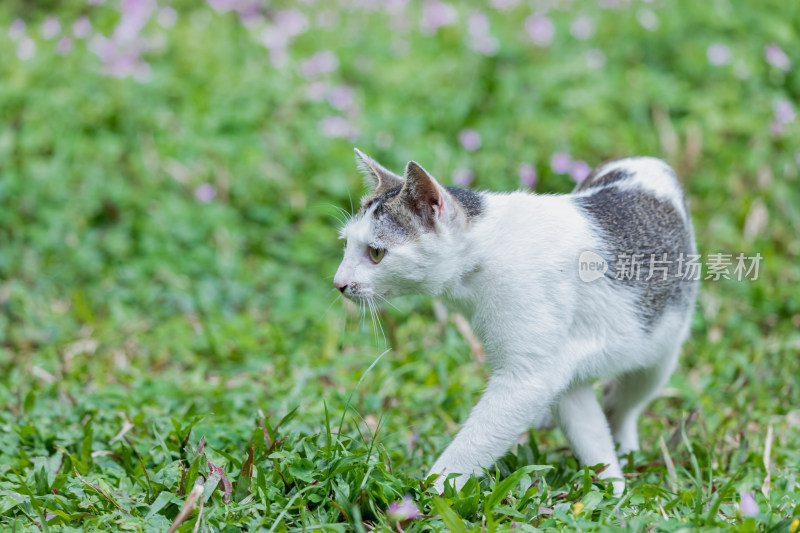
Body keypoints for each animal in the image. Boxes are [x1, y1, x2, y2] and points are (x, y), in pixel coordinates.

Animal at [332, 147, 692, 494]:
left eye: (376, 252)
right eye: (346, 245)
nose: (339, 283)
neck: (482, 255)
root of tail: (647, 160)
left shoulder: (529, 376)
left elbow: (470, 446)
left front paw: (427, 495)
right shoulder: (562, 372)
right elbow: (591, 435)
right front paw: (613, 492)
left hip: (658, 358)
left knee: (623, 406)